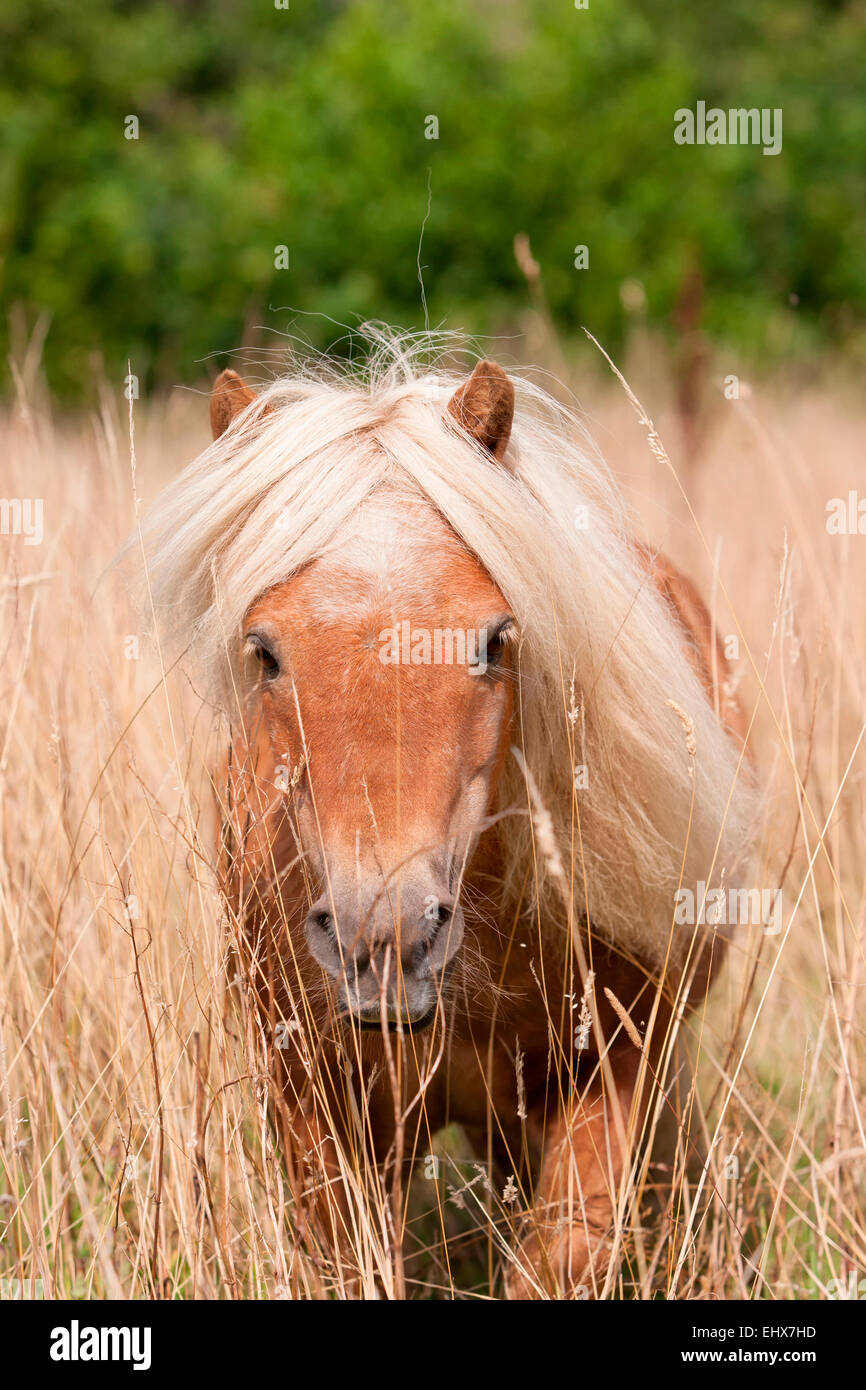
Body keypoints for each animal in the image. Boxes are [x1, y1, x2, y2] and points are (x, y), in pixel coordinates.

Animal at [135, 341, 750, 1295]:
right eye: (264, 651)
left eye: (496, 640)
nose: (387, 937)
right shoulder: (316, 1104)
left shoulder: (613, 1074)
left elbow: (560, 1257)